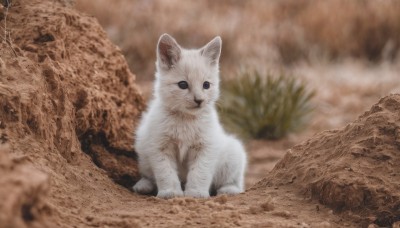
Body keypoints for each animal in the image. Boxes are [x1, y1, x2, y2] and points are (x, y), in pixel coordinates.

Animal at [133, 33, 247, 198]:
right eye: (183, 85)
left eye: (206, 85)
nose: (199, 100)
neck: (185, 119)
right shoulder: (159, 146)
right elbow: (165, 172)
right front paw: (171, 192)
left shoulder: (206, 147)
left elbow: (200, 172)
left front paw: (195, 193)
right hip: (142, 148)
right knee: (148, 174)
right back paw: (143, 185)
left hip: (233, 153)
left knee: (235, 181)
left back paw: (229, 189)